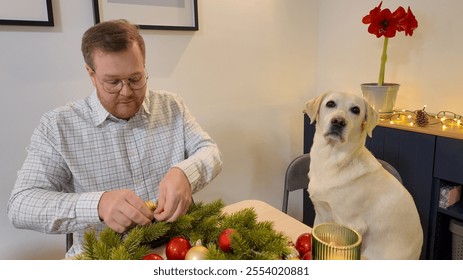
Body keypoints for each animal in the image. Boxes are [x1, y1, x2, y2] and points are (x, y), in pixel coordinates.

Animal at [304, 92, 424, 260]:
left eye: (356, 110)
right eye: (330, 104)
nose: (338, 122)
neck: (333, 160)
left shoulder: (350, 225)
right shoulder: (321, 214)